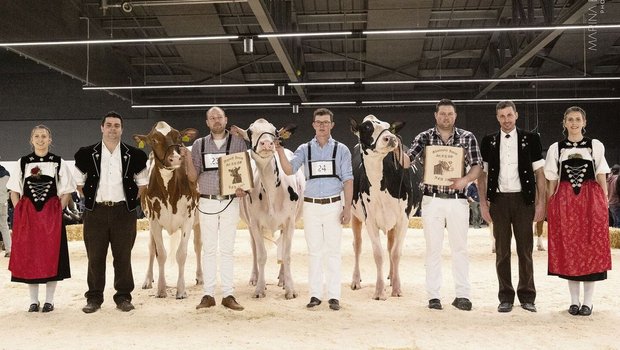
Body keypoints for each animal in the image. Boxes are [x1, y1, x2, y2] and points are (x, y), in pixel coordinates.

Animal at [133, 121, 201, 300]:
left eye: (178, 137)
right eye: (154, 139)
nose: (175, 158)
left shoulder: (188, 219)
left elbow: (181, 254)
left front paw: (181, 290)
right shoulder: (154, 220)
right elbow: (160, 254)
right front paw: (161, 289)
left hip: (199, 221)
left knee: (198, 246)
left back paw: (200, 277)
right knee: (151, 248)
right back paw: (148, 280)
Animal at [231, 119, 304, 300]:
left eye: (275, 132)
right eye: (250, 132)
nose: (267, 143)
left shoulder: (290, 222)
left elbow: (286, 254)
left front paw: (290, 289)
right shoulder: (255, 223)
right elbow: (261, 255)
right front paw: (259, 288)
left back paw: (283, 279)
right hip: (249, 225)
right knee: (254, 249)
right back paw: (255, 277)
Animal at [352, 115, 424, 300]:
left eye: (389, 128)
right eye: (366, 127)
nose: (391, 138)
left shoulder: (403, 219)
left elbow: (396, 253)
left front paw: (397, 288)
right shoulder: (370, 220)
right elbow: (378, 254)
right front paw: (379, 291)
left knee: (391, 247)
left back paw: (392, 276)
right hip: (354, 215)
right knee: (357, 246)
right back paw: (356, 280)